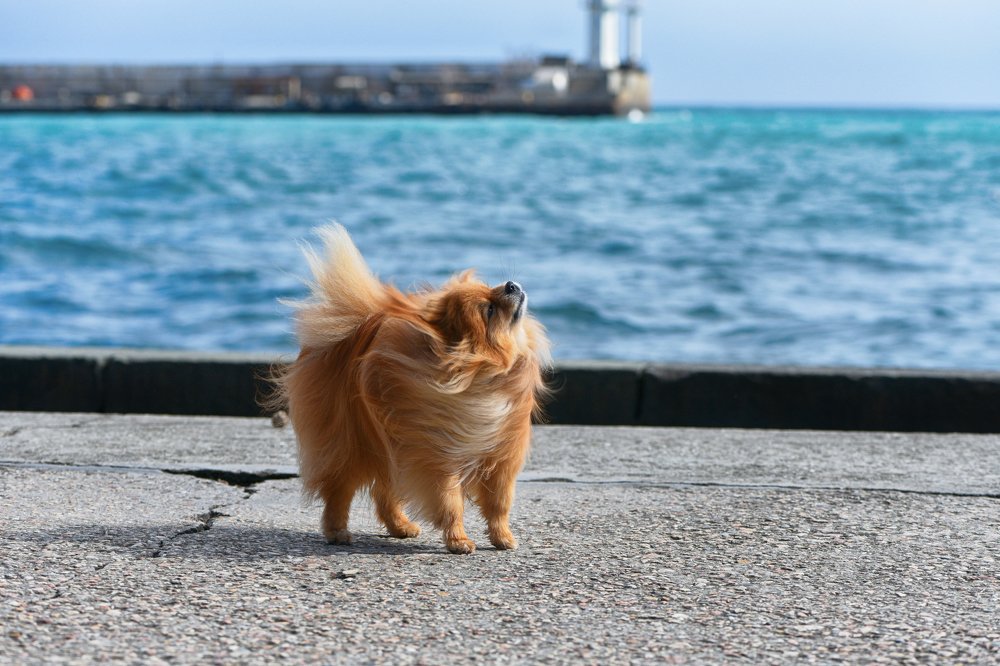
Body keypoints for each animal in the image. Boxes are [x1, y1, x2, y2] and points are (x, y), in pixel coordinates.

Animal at [273, 224, 550, 554]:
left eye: (490, 287)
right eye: (490, 309)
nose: (510, 284)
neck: (482, 373)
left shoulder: (502, 457)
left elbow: (499, 504)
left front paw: (502, 537)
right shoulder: (437, 456)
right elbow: (450, 503)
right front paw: (458, 540)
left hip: (389, 441)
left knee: (383, 492)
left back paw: (400, 527)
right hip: (351, 442)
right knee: (340, 490)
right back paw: (337, 531)